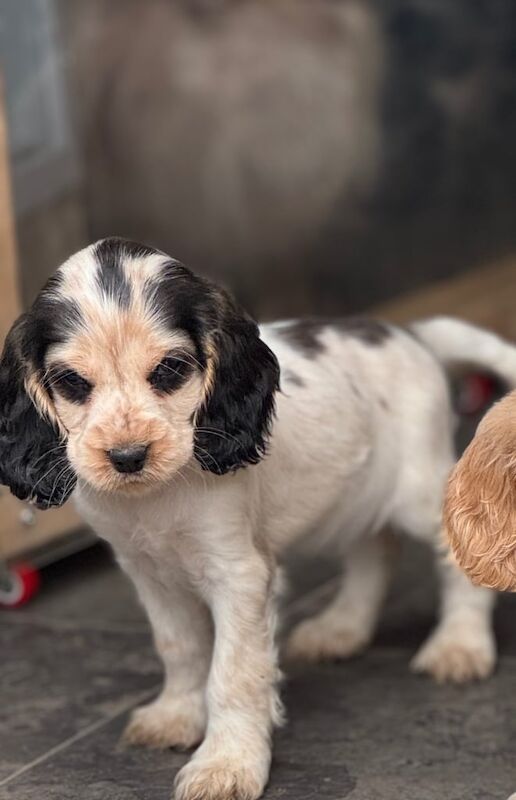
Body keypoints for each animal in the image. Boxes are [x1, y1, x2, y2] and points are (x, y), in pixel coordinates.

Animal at [0, 239, 512, 800]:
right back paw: (341, 628)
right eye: (72, 382)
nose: (128, 457)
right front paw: (176, 716)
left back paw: (460, 645)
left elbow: (233, 673)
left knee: (456, 556)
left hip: (417, 491)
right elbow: (180, 646)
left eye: (169, 370)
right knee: (375, 549)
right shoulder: (148, 573)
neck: (157, 495)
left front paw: (227, 764)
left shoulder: (238, 574)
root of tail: (410, 335)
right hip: (349, 499)